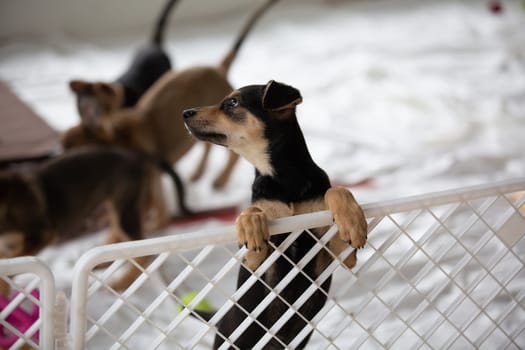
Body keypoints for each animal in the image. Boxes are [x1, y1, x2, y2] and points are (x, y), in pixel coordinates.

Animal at [0, 146, 176, 292]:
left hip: (125, 209)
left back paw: (123, 283)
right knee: (119, 235)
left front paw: (3, 289)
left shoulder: (43, 233)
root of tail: (138, 157)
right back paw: (105, 260)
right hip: (116, 206)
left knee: (143, 253)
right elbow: (8, 258)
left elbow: (11, 262)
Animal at [184, 80, 368, 348]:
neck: (283, 178)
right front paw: (251, 224)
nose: (184, 113)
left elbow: (337, 190)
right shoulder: (254, 262)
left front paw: (353, 222)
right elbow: (252, 209)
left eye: (233, 102)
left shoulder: (341, 253)